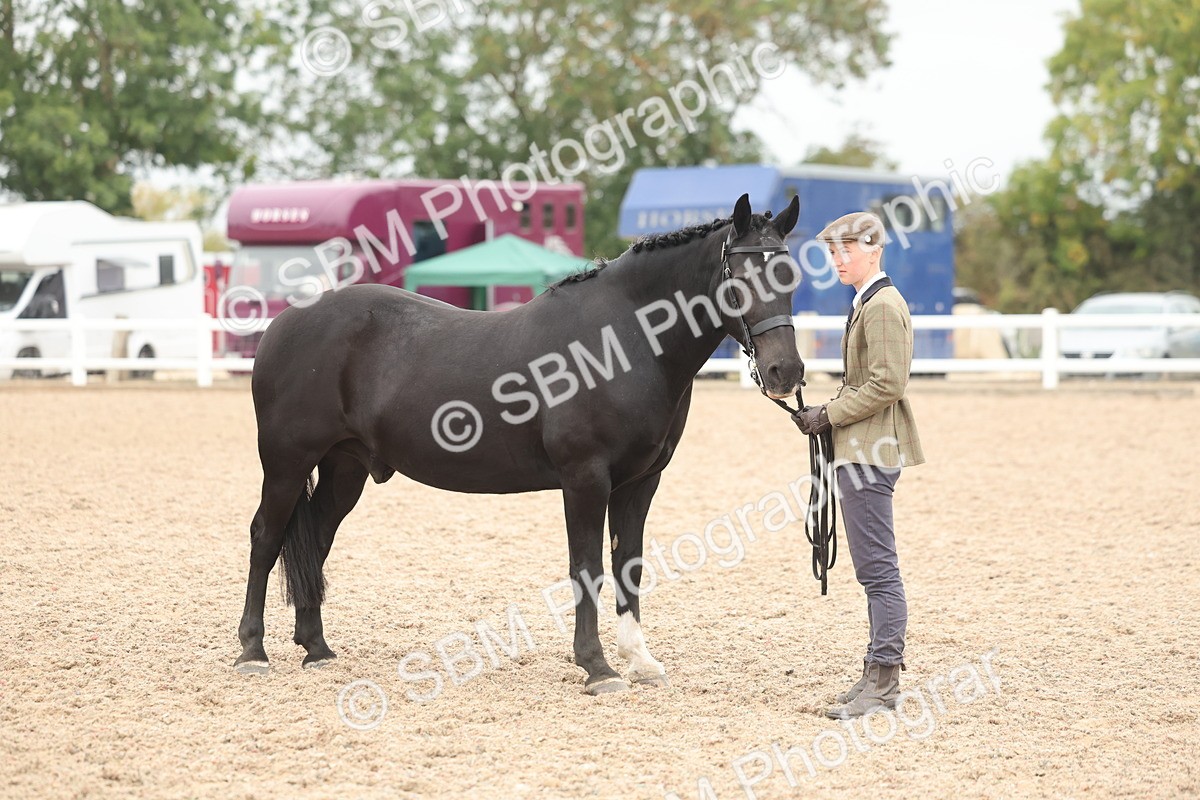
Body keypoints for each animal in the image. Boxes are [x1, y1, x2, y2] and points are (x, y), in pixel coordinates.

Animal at [234, 193, 806, 694]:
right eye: (741, 277)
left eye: (789, 275)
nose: (787, 371)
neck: (622, 341)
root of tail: (284, 321)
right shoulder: (584, 479)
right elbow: (587, 569)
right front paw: (597, 668)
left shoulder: (640, 483)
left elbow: (629, 566)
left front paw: (640, 661)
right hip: (286, 464)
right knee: (266, 536)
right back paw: (253, 652)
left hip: (344, 469)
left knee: (315, 540)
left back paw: (316, 649)